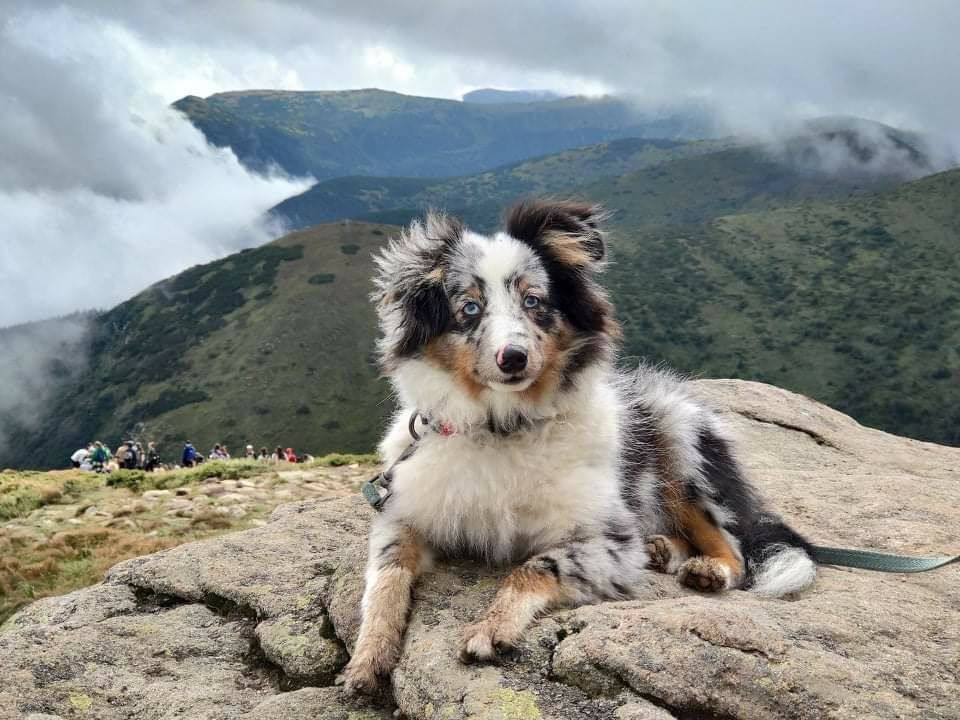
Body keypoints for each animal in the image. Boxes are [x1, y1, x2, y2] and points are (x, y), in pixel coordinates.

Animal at [342, 200, 812, 696]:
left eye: (533, 302)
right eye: (468, 308)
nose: (513, 357)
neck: (503, 425)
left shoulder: (608, 539)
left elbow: (535, 566)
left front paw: (490, 628)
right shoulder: (402, 513)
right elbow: (385, 578)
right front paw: (368, 656)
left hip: (680, 445)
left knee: (733, 547)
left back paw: (707, 568)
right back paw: (663, 549)